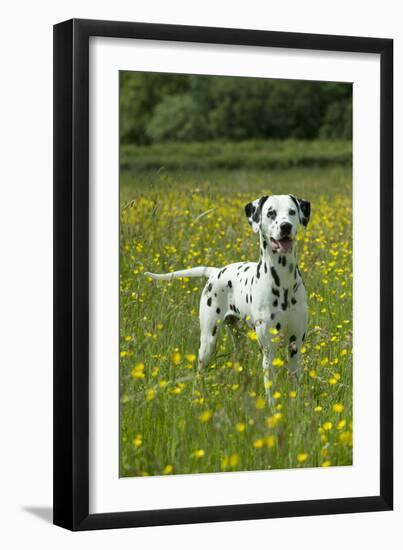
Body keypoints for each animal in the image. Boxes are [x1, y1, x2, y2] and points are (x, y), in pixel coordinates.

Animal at [145, 195, 312, 406]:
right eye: (271, 213)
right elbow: (270, 386)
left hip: (239, 340)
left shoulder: (295, 344)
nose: (285, 226)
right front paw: (273, 409)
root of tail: (215, 271)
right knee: (199, 372)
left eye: (292, 211)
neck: (283, 282)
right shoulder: (268, 349)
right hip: (208, 342)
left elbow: (295, 381)